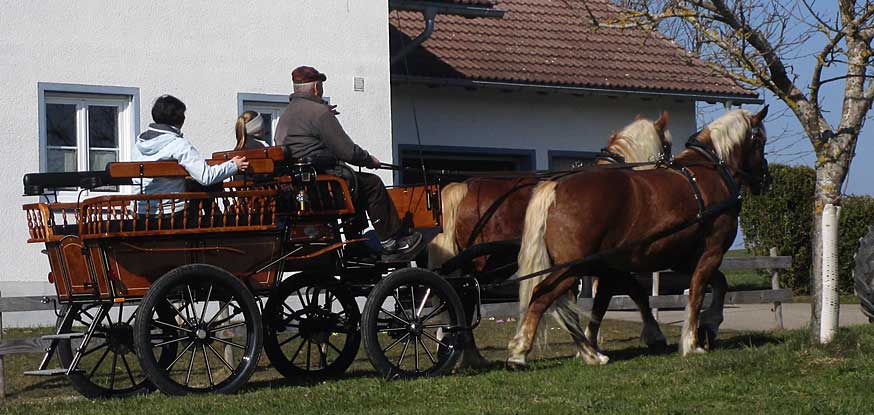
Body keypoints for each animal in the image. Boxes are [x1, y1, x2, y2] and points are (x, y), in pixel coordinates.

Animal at [428, 111, 668, 368]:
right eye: (668, 145)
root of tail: (464, 187)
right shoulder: (607, 265)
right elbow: (631, 292)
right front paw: (653, 335)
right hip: (485, 263)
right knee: (466, 299)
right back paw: (470, 354)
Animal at [508, 107, 768, 368]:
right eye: (761, 141)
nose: (766, 180)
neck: (709, 172)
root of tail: (555, 187)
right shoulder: (711, 252)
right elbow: (697, 291)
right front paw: (692, 342)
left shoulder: (675, 261)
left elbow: (715, 283)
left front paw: (707, 325)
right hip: (571, 268)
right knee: (542, 296)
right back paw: (521, 353)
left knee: (562, 307)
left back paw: (589, 353)